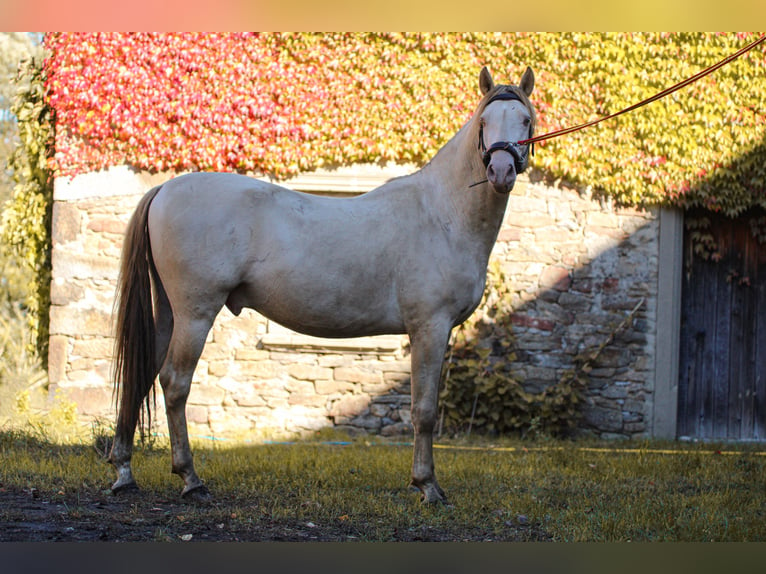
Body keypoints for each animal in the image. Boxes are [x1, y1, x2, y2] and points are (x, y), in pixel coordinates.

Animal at [111, 66, 536, 504]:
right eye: (484, 123)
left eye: (525, 120)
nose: (500, 171)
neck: (441, 213)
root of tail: (164, 189)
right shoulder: (429, 328)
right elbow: (424, 410)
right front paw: (428, 486)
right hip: (195, 313)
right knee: (174, 383)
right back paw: (190, 478)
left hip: (168, 312)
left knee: (140, 375)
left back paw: (124, 472)